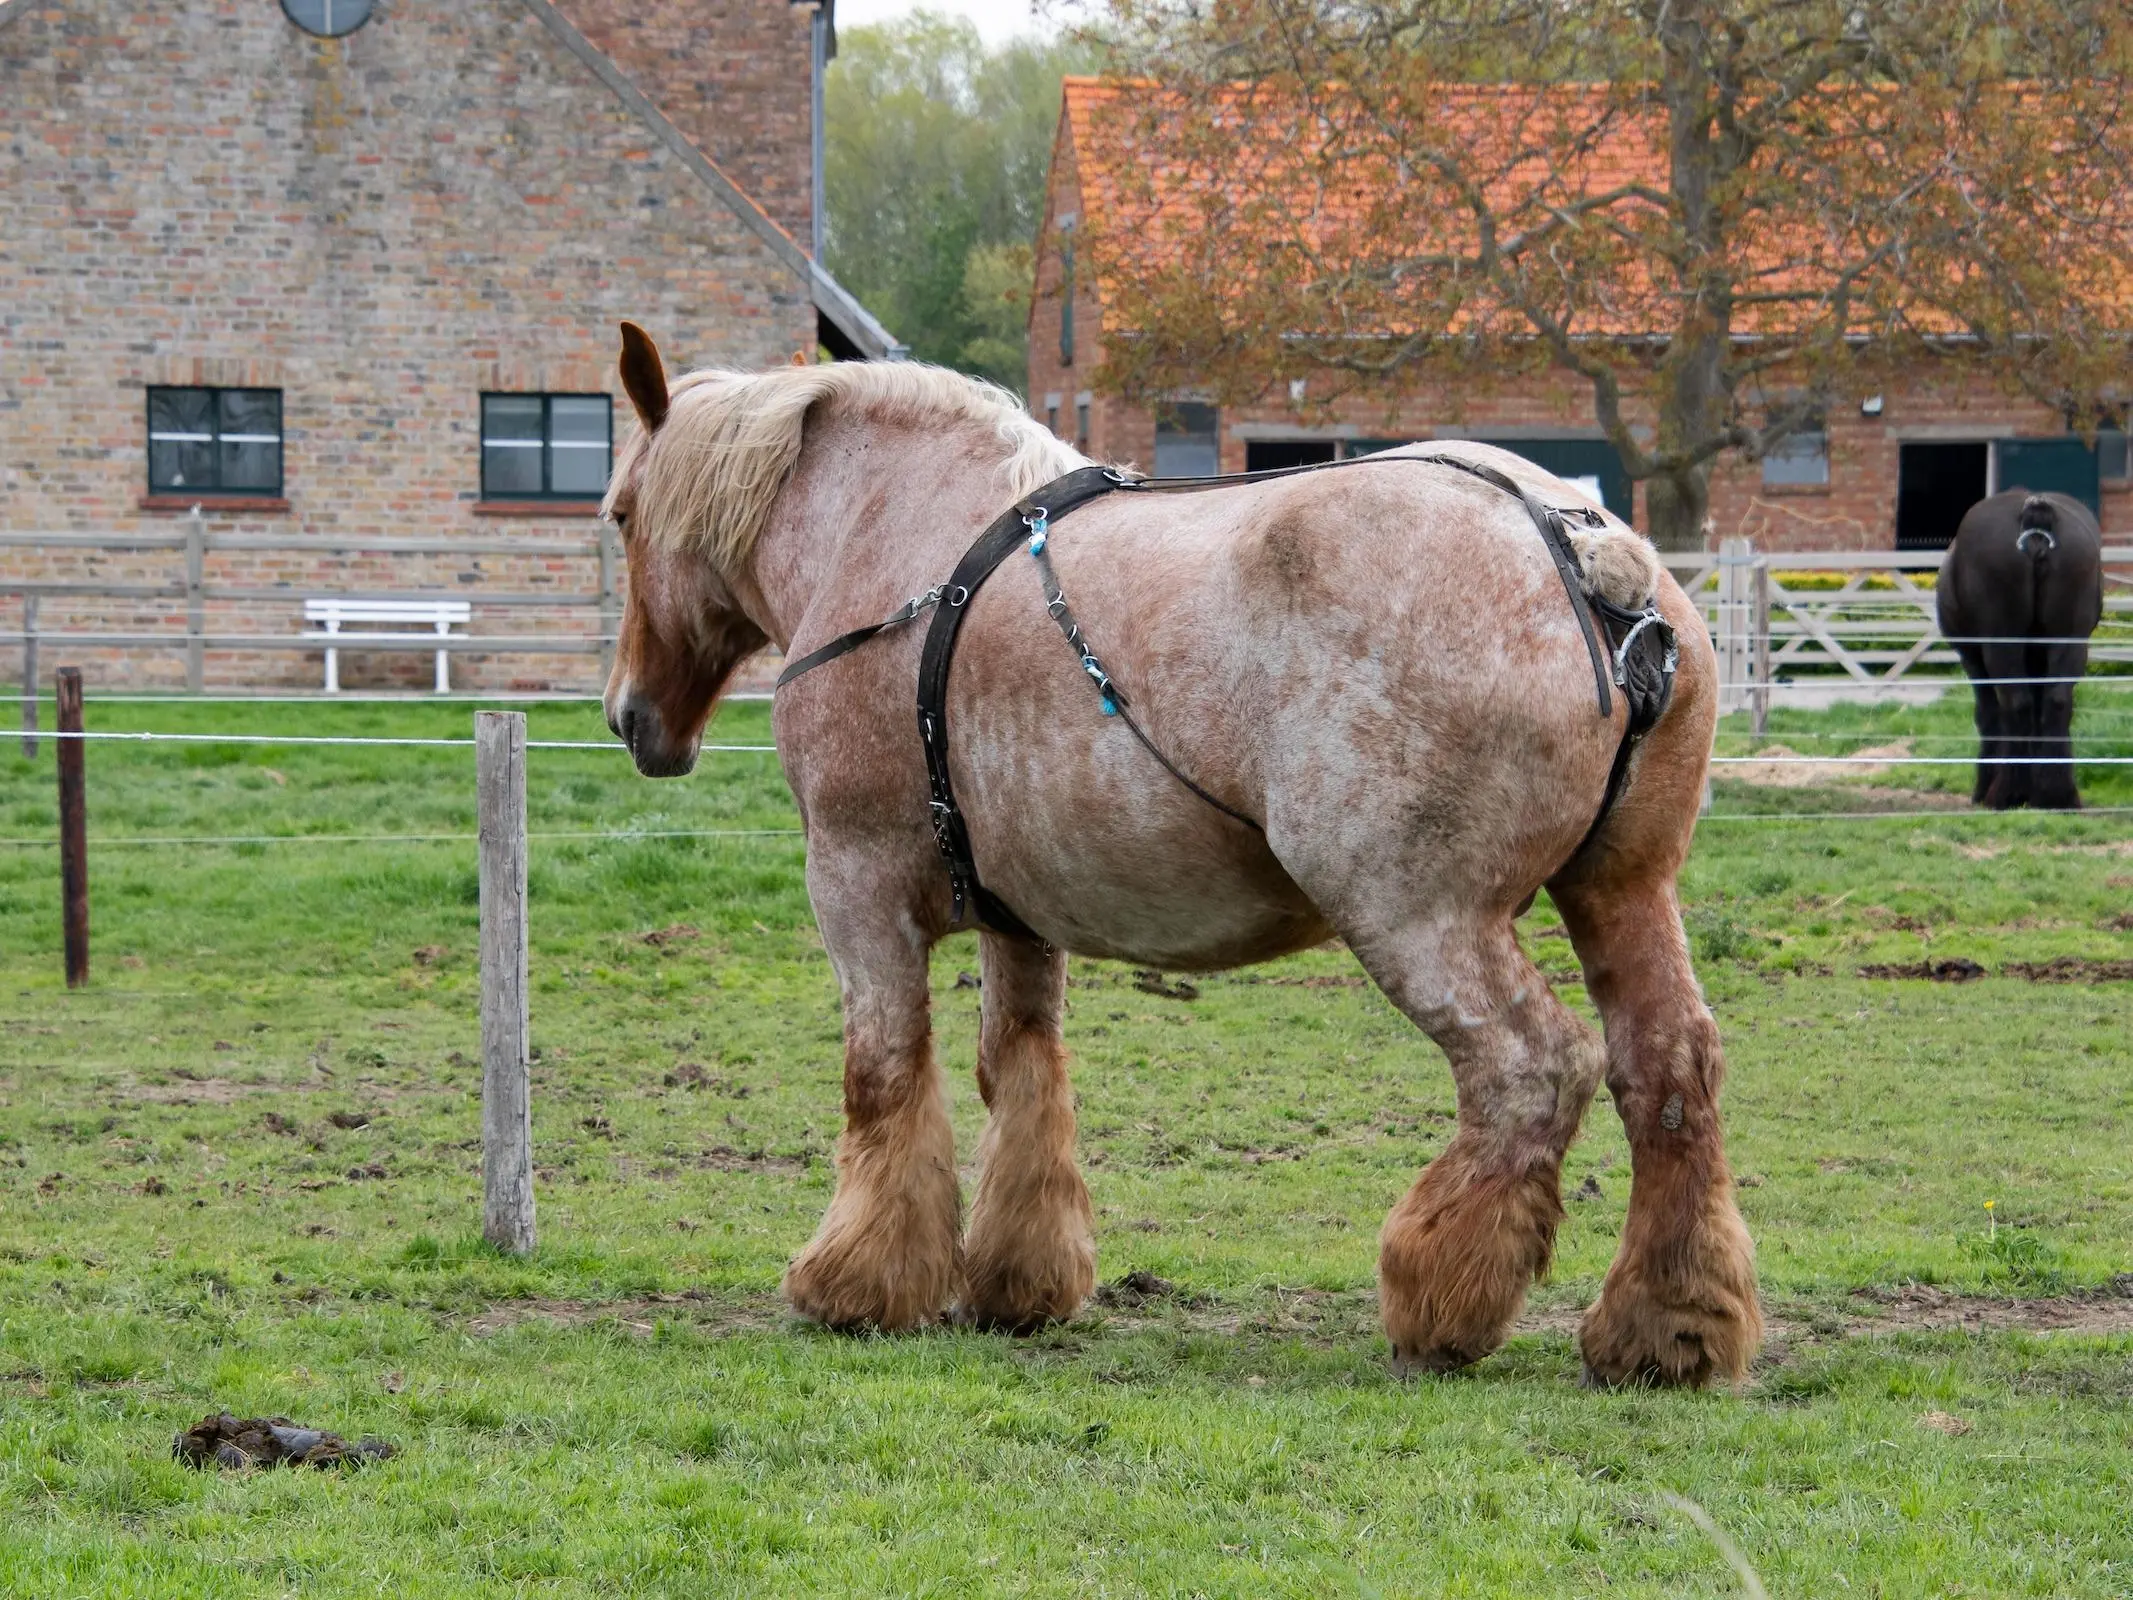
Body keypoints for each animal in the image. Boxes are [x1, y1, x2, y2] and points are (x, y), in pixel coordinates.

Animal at [605, 320, 1766, 1382]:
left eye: (618, 513)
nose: (630, 718)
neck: (899, 546)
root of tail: (1583, 550)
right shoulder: (1020, 918)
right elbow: (1019, 1074)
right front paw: (1016, 1280)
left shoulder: (856, 893)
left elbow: (884, 1078)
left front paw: (856, 1282)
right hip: (1620, 892)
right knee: (1667, 1068)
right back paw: (1664, 1326)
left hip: (1418, 918)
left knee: (1531, 1071)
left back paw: (1440, 1298)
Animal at [1945, 488, 2107, 806]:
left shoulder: (1973, 658)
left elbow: (1988, 715)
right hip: (2069, 641)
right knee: (2056, 702)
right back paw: (2058, 794)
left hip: (2001, 644)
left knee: (2015, 704)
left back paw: (2003, 793)